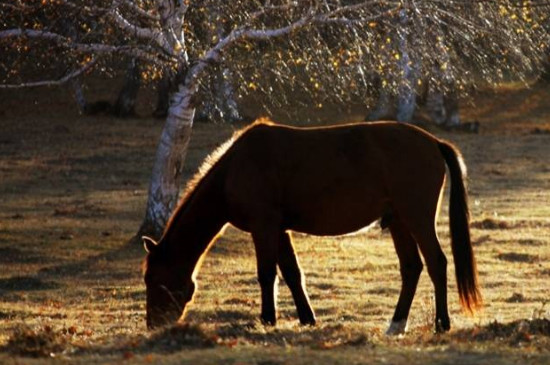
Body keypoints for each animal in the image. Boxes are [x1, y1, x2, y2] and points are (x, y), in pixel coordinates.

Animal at [143, 118, 484, 332]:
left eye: (155, 280)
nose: (154, 325)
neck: (236, 169)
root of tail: (433, 142)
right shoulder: (278, 229)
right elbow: (292, 273)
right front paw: (307, 319)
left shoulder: (264, 226)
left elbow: (267, 274)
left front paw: (267, 320)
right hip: (399, 221)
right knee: (412, 268)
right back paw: (396, 324)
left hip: (416, 217)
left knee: (436, 263)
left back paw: (441, 324)